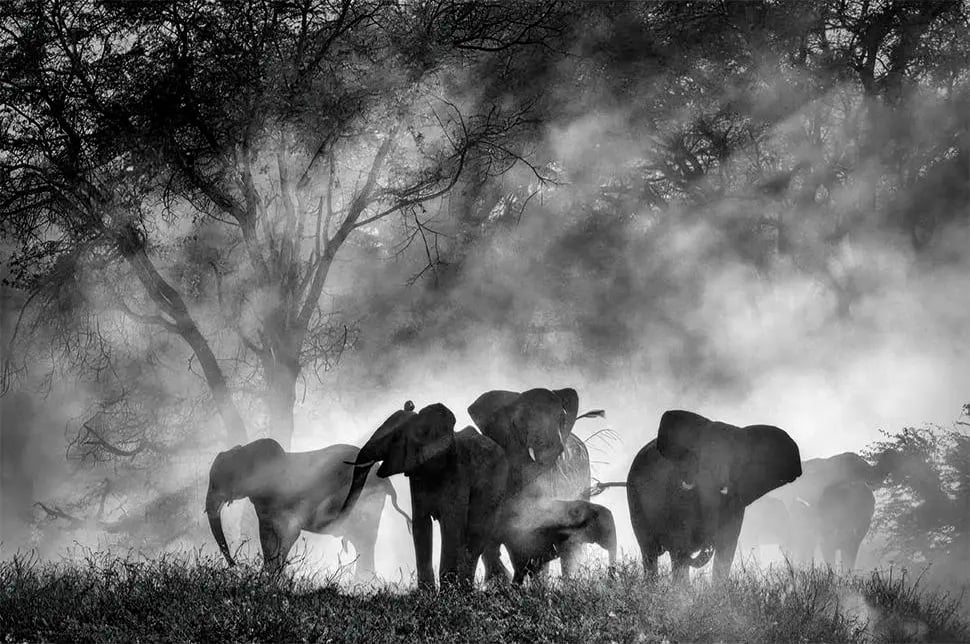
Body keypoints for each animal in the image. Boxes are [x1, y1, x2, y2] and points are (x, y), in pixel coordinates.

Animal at [205, 438, 411, 576]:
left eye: (219, 482)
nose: (236, 565)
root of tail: (387, 483)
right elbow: (267, 537)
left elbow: (289, 533)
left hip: (367, 502)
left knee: (364, 541)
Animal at [342, 401, 509, 590]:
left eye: (395, 438)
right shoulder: (416, 475)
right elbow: (421, 525)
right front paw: (426, 592)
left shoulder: (458, 472)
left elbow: (452, 525)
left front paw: (447, 592)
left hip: (496, 485)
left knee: (476, 535)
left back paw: (465, 590)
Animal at [627, 409, 802, 582]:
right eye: (698, 456)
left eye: (736, 461)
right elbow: (680, 545)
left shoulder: (736, 503)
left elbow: (726, 549)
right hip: (635, 499)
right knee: (649, 551)